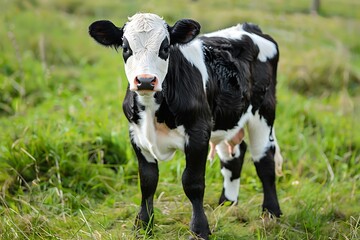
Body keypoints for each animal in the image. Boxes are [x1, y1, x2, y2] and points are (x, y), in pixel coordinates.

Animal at [88, 13, 282, 240]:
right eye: (126, 48)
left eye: (165, 47)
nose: (145, 80)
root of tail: (248, 27)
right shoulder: (136, 135)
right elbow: (147, 181)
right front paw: (143, 226)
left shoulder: (198, 133)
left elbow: (192, 183)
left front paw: (200, 229)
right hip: (226, 119)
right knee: (233, 157)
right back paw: (226, 205)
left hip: (263, 113)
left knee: (265, 161)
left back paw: (271, 213)